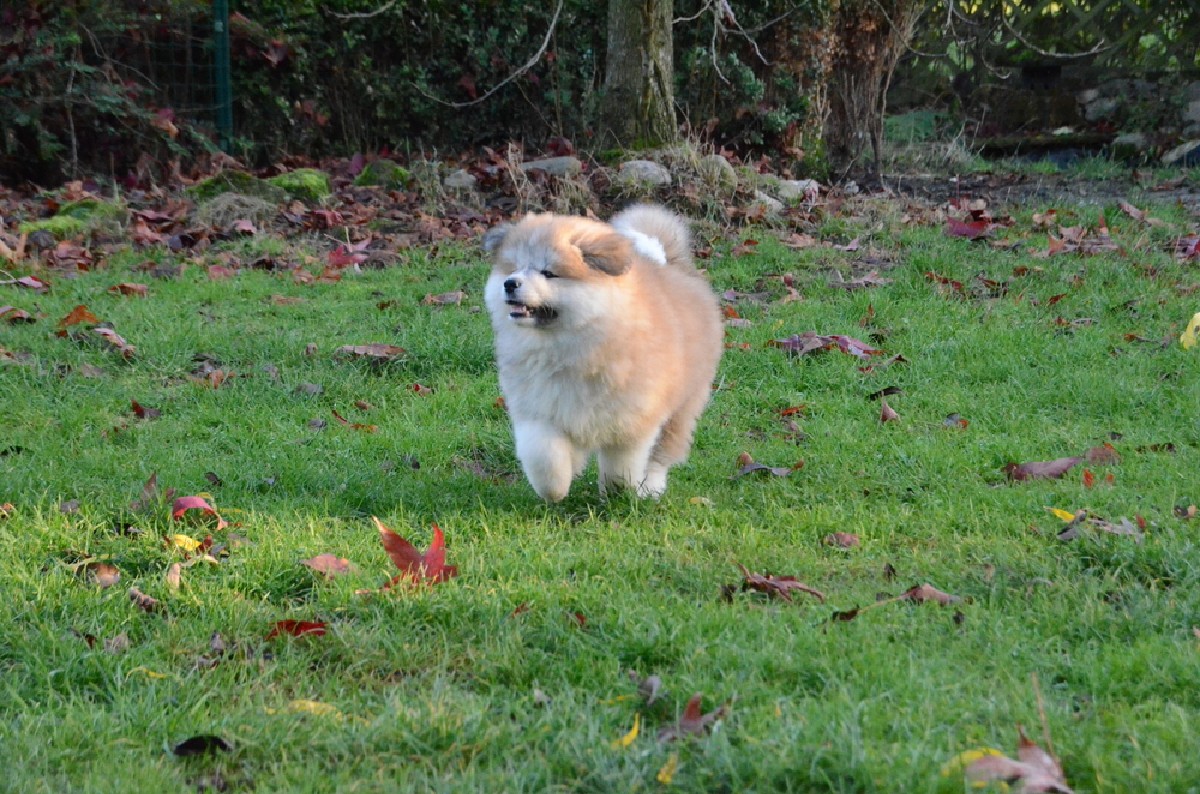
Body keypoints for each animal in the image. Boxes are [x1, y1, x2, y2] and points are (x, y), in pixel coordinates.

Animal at [483, 204, 723, 502]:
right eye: (514, 268)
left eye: (548, 273)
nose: (510, 283)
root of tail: (671, 266)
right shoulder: (540, 410)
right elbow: (545, 456)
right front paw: (555, 489)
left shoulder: (632, 419)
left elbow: (622, 466)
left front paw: (619, 494)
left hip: (682, 406)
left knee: (660, 456)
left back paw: (652, 489)